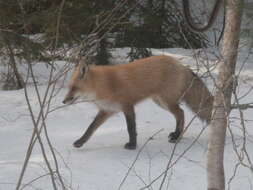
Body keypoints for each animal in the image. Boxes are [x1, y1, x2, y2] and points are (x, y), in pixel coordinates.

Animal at [62, 55, 212, 150]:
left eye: (74, 88)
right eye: (69, 87)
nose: (63, 101)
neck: (104, 85)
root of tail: (181, 65)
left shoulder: (127, 106)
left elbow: (131, 128)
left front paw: (132, 145)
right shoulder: (107, 110)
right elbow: (91, 128)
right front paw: (80, 142)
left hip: (166, 101)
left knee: (181, 113)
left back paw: (177, 137)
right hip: (160, 102)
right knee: (180, 114)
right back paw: (177, 135)